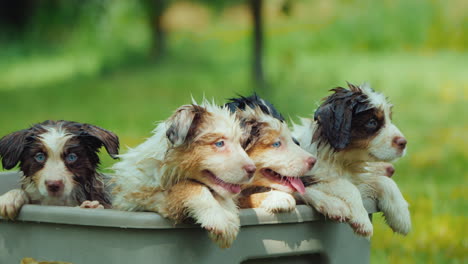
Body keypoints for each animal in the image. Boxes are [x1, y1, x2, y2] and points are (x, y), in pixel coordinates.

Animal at [110, 99, 256, 250]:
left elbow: (222, 196)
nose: (253, 170)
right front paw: (218, 219)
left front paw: (229, 216)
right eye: (220, 143)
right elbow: (188, 185)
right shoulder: (141, 198)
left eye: (241, 144)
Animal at [294, 83, 412, 237]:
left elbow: (383, 181)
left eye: (389, 119)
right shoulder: (306, 177)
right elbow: (346, 186)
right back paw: (334, 206)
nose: (404, 143)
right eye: (372, 122)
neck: (341, 160)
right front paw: (363, 221)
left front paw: (402, 217)